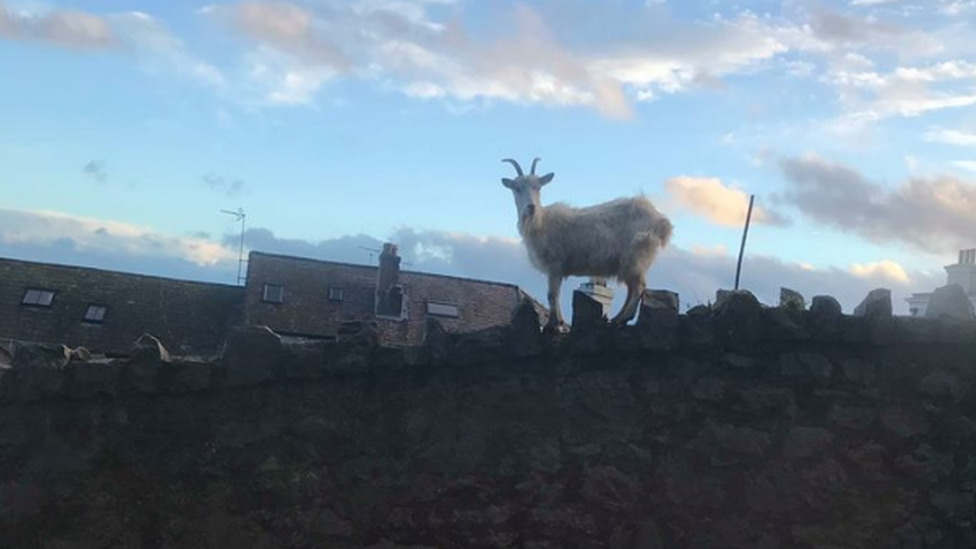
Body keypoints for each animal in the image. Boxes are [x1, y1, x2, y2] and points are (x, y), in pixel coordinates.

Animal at [500, 156, 676, 332]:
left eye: (538, 187)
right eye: (517, 188)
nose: (531, 207)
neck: (540, 222)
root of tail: (661, 220)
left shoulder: (555, 265)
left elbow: (552, 295)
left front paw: (552, 324)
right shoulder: (556, 269)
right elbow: (554, 295)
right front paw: (559, 323)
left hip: (637, 255)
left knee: (638, 287)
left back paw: (623, 318)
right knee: (632, 288)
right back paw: (617, 319)